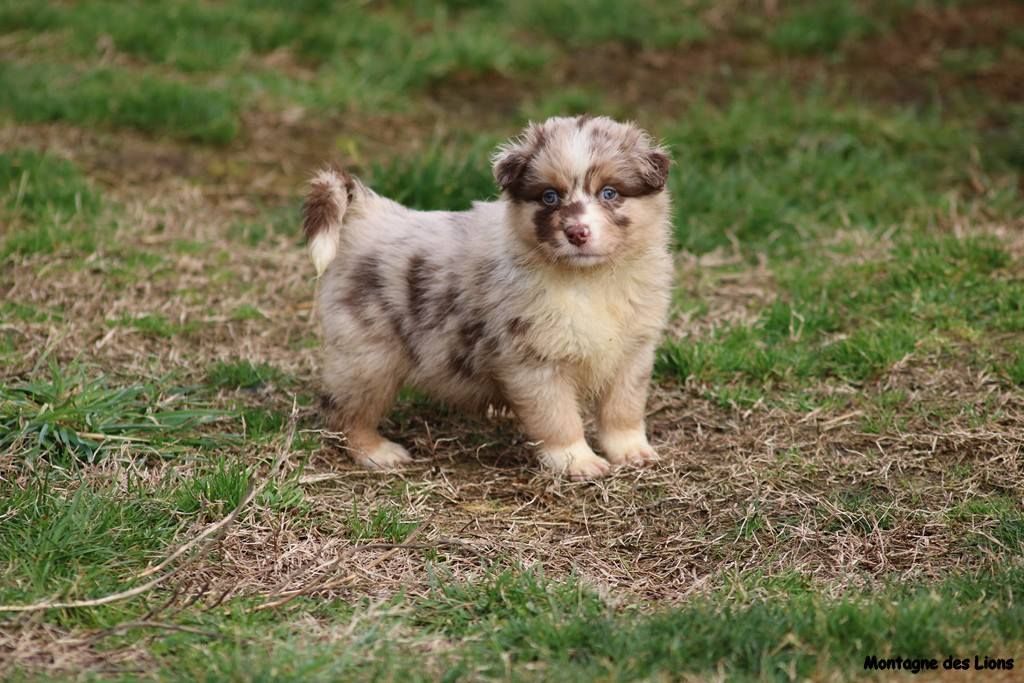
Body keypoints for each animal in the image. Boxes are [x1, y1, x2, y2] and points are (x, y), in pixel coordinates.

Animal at [301, 116, 671, 481]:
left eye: (610, 193)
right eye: (550, 196)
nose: (577, 233)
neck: (587, 281)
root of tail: (366, 213)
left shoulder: (633, 353)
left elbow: (623, 409)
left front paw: (631, 452)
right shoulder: (534, 361)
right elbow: (558, 418)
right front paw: (576, 460)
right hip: (368, 358)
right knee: (347, 413)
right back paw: (377, 453)